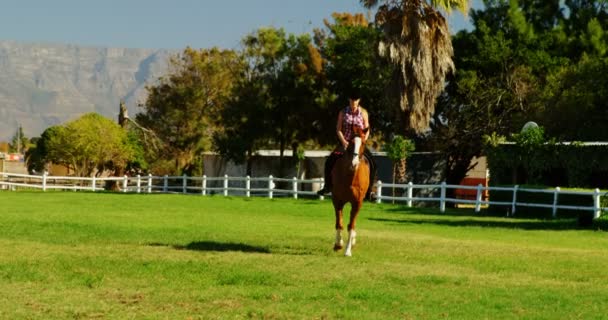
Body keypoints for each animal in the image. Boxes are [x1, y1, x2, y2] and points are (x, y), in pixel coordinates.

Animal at [332, 126, 370, 256]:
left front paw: (348, 250)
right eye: (351, 143)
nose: (354, 164)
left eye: (363, 143)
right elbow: (339, 223)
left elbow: (351, 225)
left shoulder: (357, 203)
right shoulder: (337, 200)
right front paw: (338, 244)